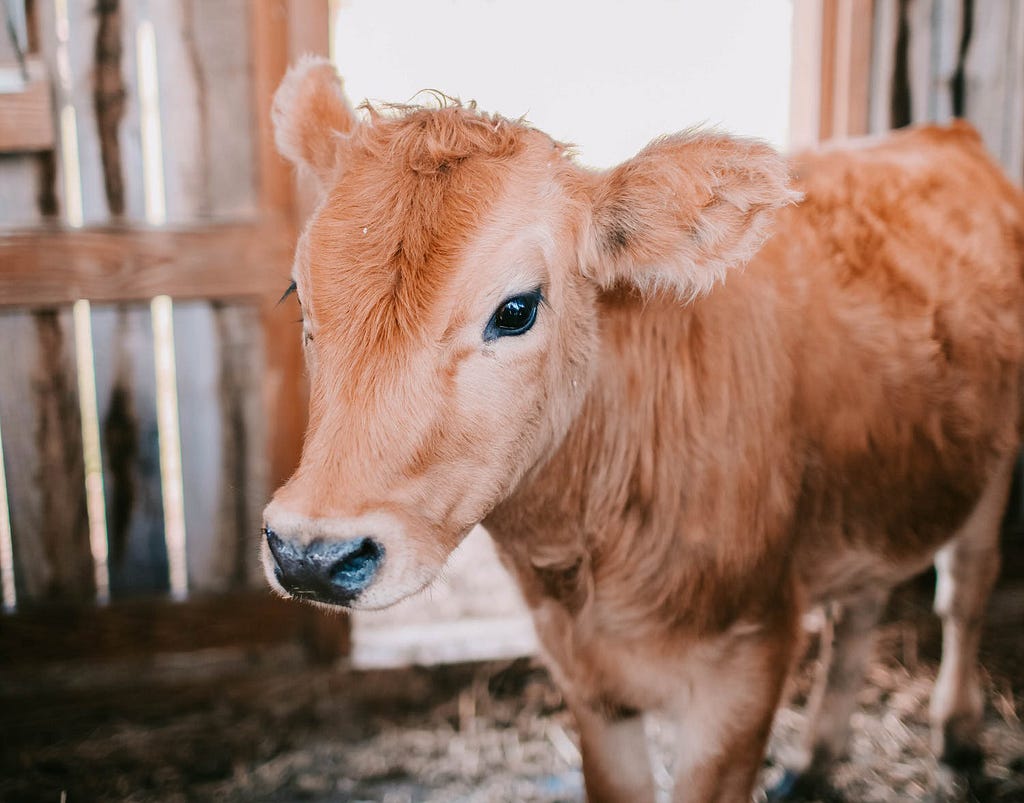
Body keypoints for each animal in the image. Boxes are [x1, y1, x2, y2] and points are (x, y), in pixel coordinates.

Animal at [261, 56, 1024, 802]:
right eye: (298, 293)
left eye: (516, 309)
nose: (312, 554)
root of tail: (945, 133)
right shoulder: (585, 680)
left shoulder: (749, 662)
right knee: (860, 607)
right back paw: (817, 757)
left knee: (964, 588)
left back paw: (957, 732)